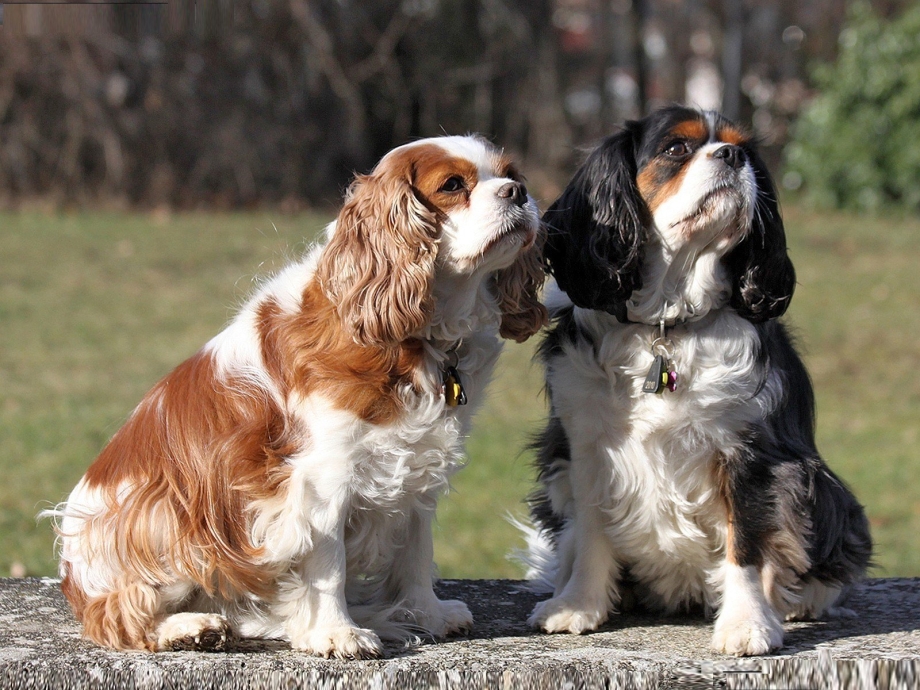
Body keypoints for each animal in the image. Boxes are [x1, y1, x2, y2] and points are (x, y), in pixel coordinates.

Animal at [50, 134, 548, 656]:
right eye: (453, 185)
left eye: (511, 174)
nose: (518, 192)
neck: (421, 334)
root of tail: (72, 575)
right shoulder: (322, 478)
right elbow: (328, 565)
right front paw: (336, 632)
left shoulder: (417, 470)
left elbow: (415, 551)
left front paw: (426, 614)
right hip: (166, 517)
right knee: (117, 615)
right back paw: (187, 627)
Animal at [520, 105, 872, 652]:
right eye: (676, 149)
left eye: (742, 148)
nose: (731, 156)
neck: (668, 322)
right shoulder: (588, 449)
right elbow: (593, 530)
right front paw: (578, 604)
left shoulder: (751, 454)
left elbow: (746, 543)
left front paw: (747, 623)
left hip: (825, 491)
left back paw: (797, 602)